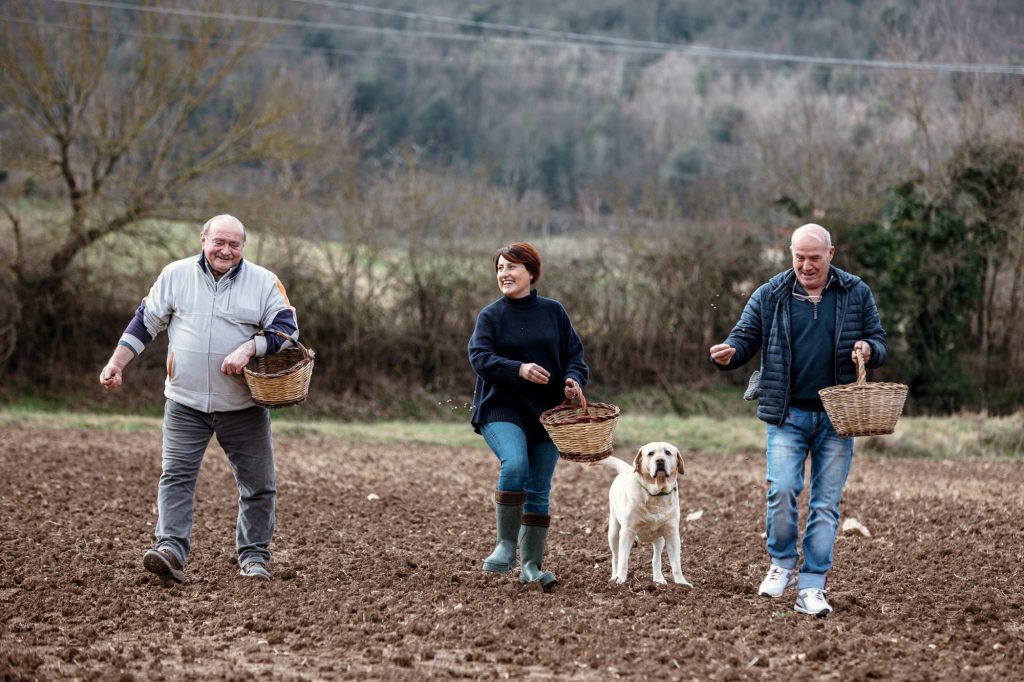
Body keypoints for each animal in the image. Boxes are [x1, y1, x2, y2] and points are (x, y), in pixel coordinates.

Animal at [602, 440, 692, 585]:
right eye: (651, 453)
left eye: (667, 452)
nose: (660, 460)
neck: (656, 494)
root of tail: (627, 469)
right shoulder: (627, 531)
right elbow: (623, 560)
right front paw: (621, 579)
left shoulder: (672, 533)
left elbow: (676, 563)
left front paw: (681, 583)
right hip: (614, 531)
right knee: (615, 557)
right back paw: (614, 576)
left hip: (659, 539)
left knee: (656, 558)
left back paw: (659, 579)